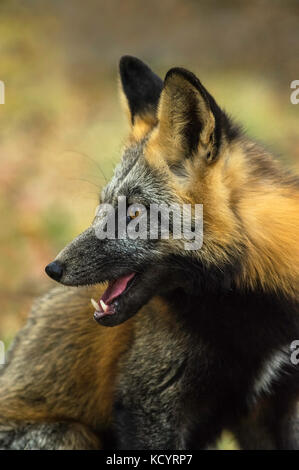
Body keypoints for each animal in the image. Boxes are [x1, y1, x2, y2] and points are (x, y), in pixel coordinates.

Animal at [0, 57, 298, 450]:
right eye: (102, 207)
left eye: (134, 213)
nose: (53, 268)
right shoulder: (148, 401)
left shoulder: (276, 405)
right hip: (71, 435)